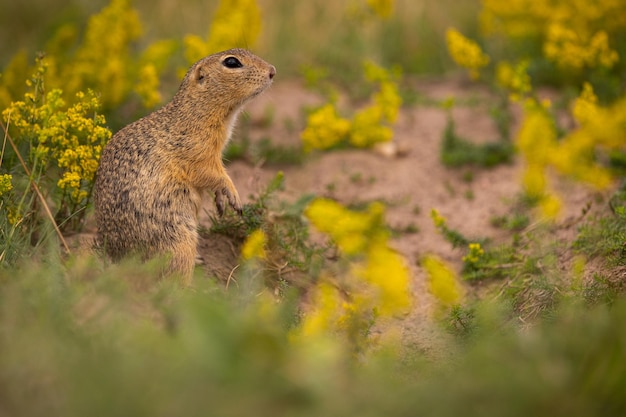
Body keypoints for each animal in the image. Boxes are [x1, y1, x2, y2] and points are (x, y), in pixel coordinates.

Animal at [93, 48, 276, 282]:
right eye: (232, 62)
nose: (272, 71)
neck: (196, 112)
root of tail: (121, 259)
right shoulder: (197, 153)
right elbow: (214, 174)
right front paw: (234, 197)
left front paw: (221, 201)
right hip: (179, 240)